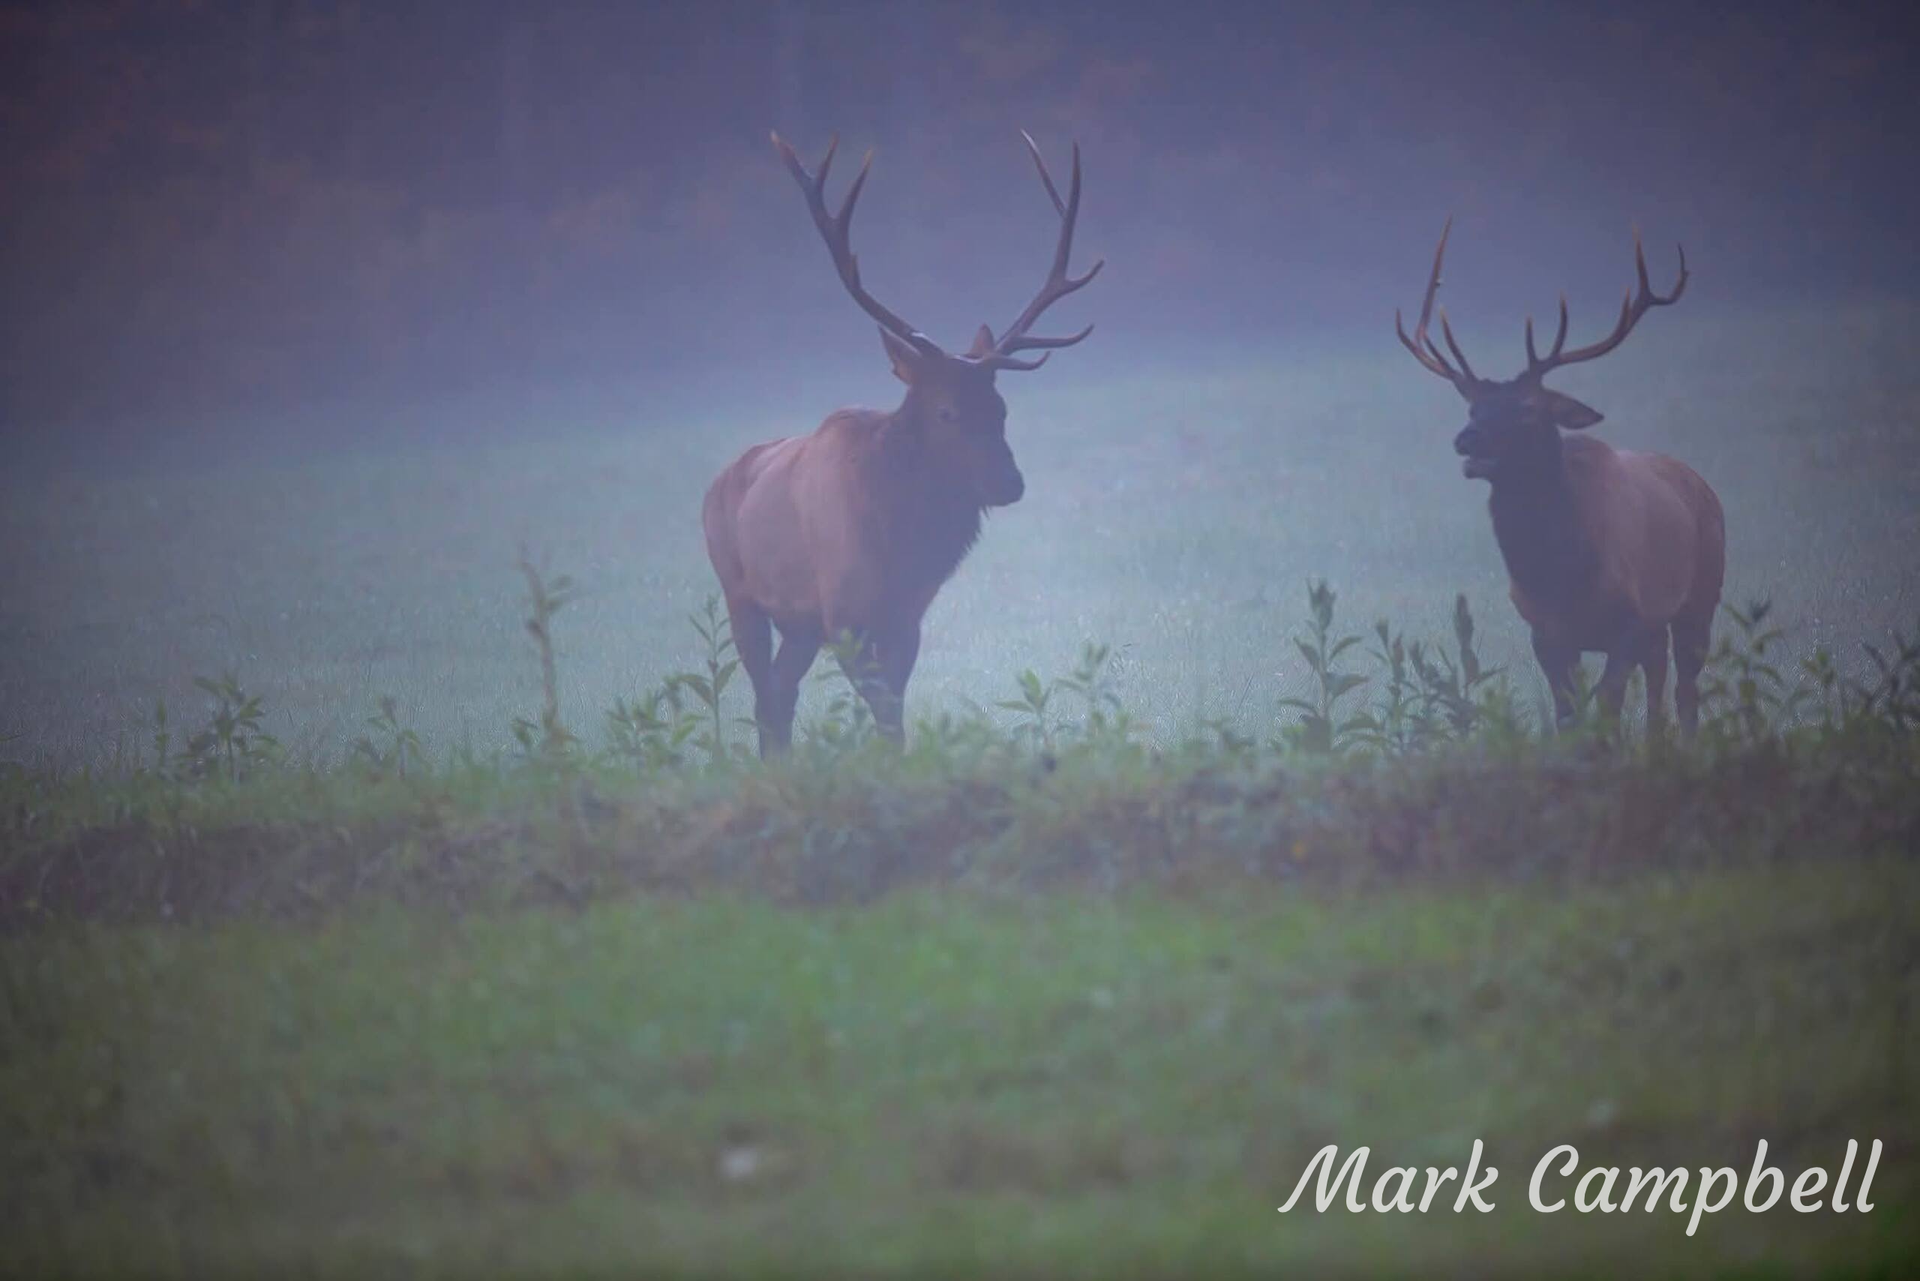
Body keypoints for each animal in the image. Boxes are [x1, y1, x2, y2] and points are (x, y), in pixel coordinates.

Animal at [702, 131, 1101, 755]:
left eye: (1001, 408)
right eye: (946, 410)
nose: (1008, 483)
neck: (899, 541)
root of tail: (717, 483)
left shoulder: (905, 616)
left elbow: (894, 712)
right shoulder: (842, 614)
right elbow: (883, 711)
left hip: (798, 624)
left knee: (778, 698)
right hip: (739, 591)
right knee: (766, 693)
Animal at [1394, 219, 1725, 737]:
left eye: (1529, 409)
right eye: (1473, 408)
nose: (1466, 441)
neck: (1561, 576)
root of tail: (1700, 483)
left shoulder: (1630, 618)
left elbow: (1608, 704)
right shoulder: (1545, 631)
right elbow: (1569, 714)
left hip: (1702, 592)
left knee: (1685, 688)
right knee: (1659, 681)